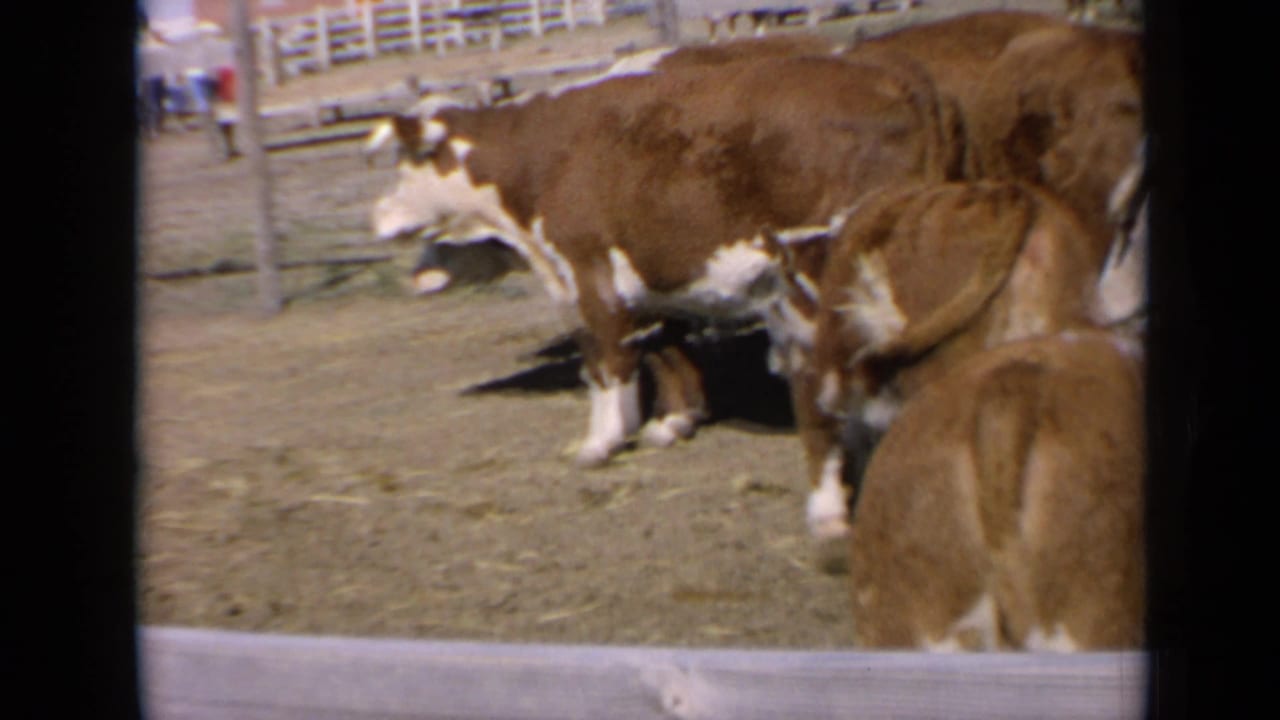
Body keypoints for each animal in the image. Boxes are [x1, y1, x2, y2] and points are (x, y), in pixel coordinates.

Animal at [369, 51, 958, 467]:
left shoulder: (587, 270)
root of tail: (892, 73)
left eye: (405, 163)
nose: (377, 218)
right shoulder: (645, 277)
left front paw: (601, 442)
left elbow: (605, 358)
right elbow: (658, 346)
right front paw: (669, 423)